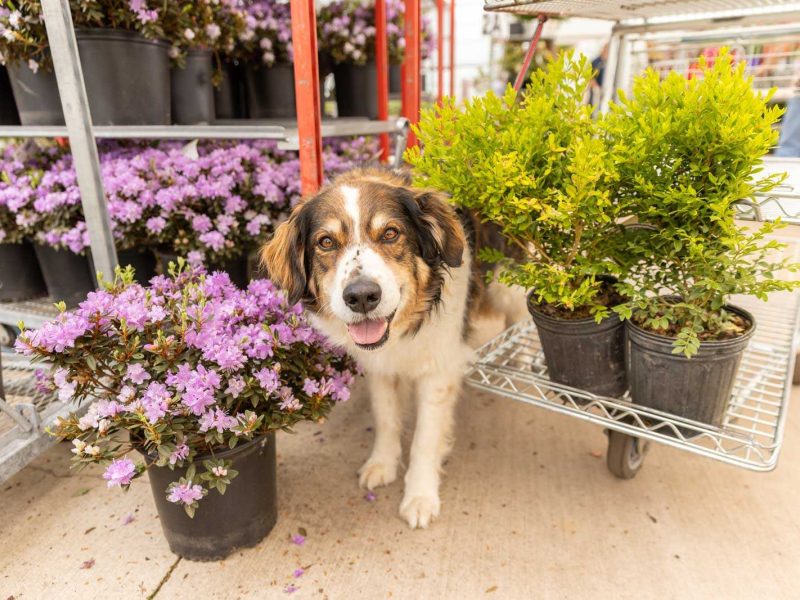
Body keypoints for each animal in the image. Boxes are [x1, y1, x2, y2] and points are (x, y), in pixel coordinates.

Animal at [260, 166, 528, 528]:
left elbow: (425, 440)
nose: (361, 296)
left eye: (390, 233)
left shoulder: (438, 372)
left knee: (523, 311)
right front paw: (382, 464)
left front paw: (420, 496)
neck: (406, 326)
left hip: (507, 282)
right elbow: (386, 417)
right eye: (326, 242)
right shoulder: (378, 368)